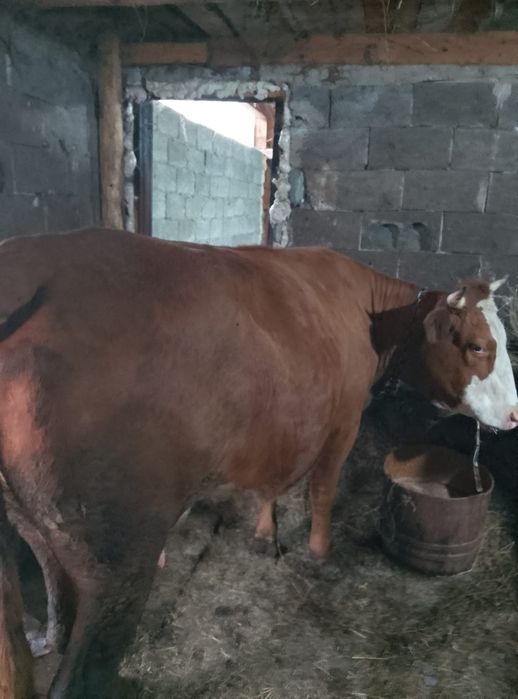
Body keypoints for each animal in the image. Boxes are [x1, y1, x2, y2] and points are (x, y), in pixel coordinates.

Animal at [0, 228, 516, 698]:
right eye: (476, 345)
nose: (514, 414)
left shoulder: (283, 424)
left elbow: (275, 483)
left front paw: (266, 534)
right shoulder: (345, 419)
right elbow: (322, 490)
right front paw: (319, 552)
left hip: (30, 530)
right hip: (117, 555)